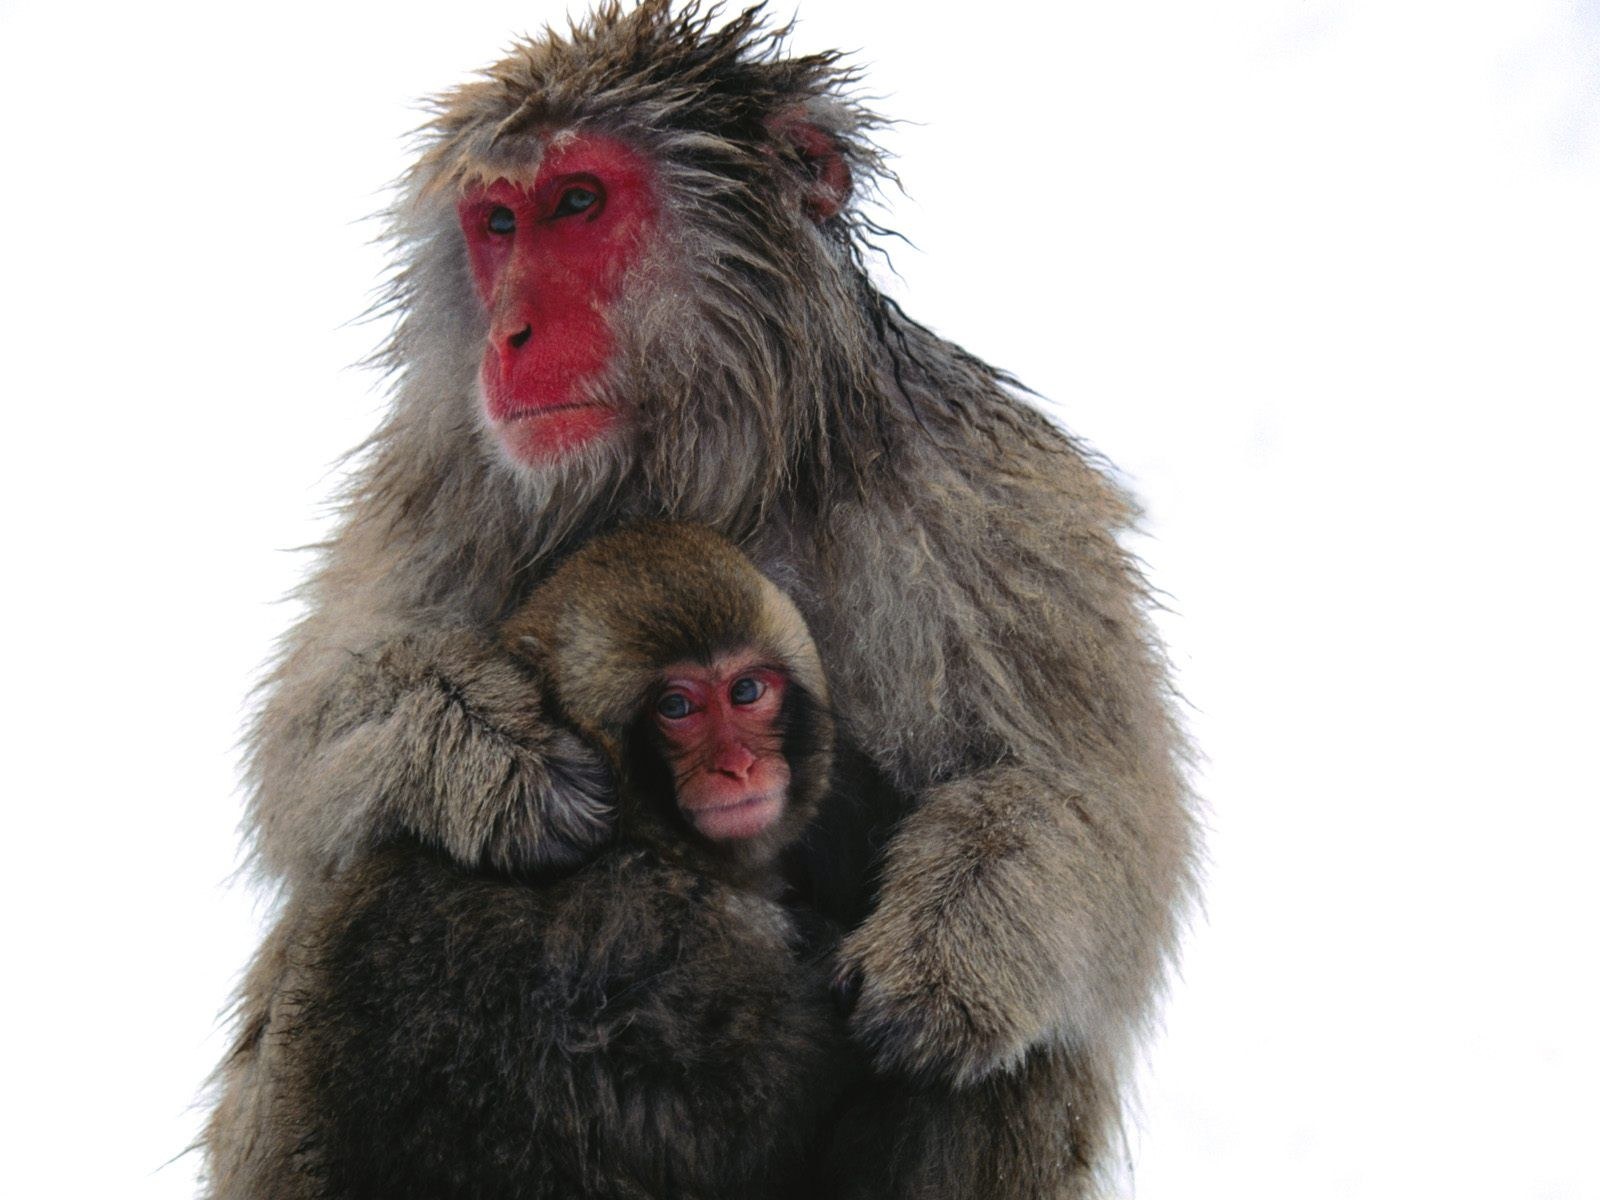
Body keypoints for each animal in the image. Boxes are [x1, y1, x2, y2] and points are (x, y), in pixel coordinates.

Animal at [205, 4, 1198, 1197]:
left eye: (577, 204)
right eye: (498, 222)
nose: (508, 334)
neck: (707, 464)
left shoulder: (982, 487)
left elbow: (1084, 803)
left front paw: (948, 959)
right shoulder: (452, 480)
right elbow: (303, 758)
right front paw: (492, 754)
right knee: (384, 884)